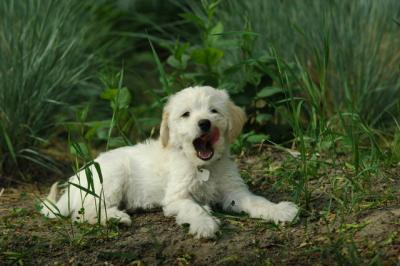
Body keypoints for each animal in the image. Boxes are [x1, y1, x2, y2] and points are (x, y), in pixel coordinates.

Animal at [42, 86, 298, 238]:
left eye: (214, 111)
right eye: (186, 114)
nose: (204, 123)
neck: (203, 166)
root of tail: (72, 185)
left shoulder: (235, 192)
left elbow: (257, 201)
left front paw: (279, 210)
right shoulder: (177, 197)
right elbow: (194, 207)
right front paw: (204, 224)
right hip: (111, 177)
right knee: (84, 213)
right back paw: (115, 218)